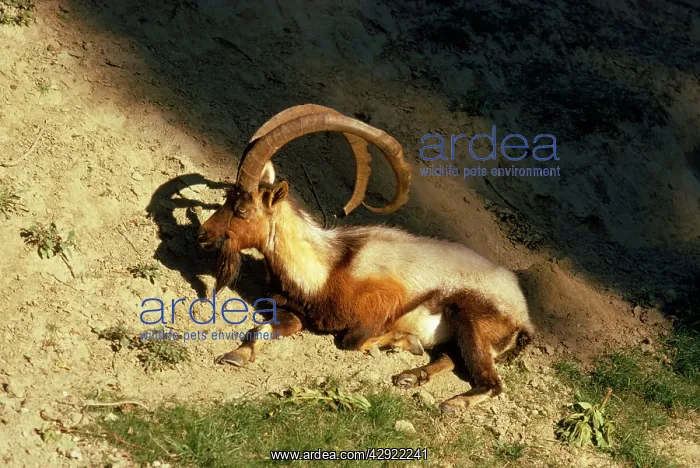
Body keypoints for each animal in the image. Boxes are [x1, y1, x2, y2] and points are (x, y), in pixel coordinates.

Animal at [197, 104, 534, 412]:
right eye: (227, 197)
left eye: (242, 210)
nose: (203, 234)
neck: (328, 269)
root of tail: (523, 317)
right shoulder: (295, 311)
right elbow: (264, 328)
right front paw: (235, 356)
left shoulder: (376, 309)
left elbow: (350, 342)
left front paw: (403, 341)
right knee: (453, 359)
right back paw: (411, 376)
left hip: (472, 318)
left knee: (491, 382)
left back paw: (452, 402)